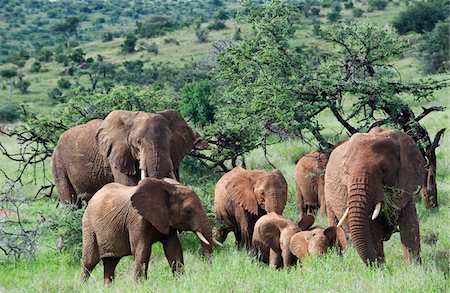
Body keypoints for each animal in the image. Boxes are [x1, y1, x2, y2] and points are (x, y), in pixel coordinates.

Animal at [51, 109, 196, 208]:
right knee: (70, 203)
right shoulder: (116, 156)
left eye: (170, 141)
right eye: (138, 143)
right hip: (58, 165)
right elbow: (128, 186)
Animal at [81, 177, 214, 284]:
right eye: (188, 211)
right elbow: (142, 249)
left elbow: (173, 248)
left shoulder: (165, 218)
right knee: (89, 262)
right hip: (89, 226)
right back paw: (82, 286)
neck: (169, 188)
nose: (207, 268)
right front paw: (140, 285)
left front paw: (180, 280)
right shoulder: (136, 219)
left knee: (111, 262)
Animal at [324, 126, 426, 264]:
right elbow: (374, 228)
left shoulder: (406, 180)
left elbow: (410, 226)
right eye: (346, 173)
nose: (378, 261)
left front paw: (414, 267)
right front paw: (380, 267)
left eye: (383, 170)